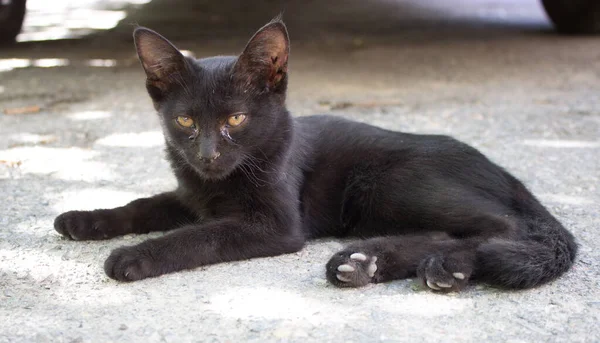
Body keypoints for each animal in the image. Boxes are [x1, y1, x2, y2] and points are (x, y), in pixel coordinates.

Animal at [55, 18, 576, 292]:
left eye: (237, 119)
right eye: (185, 122)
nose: (207, 155)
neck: (217, 182)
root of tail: (503, 173)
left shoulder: (276, 224)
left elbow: (200, 235)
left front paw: (136, 255)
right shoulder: (189, 193)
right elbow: (144, 205)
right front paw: (85, 219)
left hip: (388, 181)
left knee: (500, 227)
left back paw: (451, 266)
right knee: (445, 231)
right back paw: (366, 262)